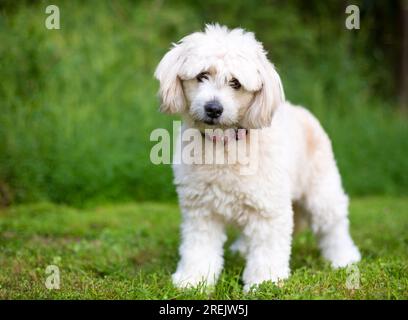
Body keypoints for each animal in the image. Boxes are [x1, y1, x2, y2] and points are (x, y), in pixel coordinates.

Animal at [155, 23, 362, 292]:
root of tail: (302, 111)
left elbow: (267, 252)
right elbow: (198, 250)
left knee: (334, 226)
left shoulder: (269, 211)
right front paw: (193, 280)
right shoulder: (201, 212)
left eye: (235, 83)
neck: (225, 145)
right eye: (202, 75)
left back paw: (344, 258)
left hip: (321, 192)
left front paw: (265, 282)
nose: (213, 108)